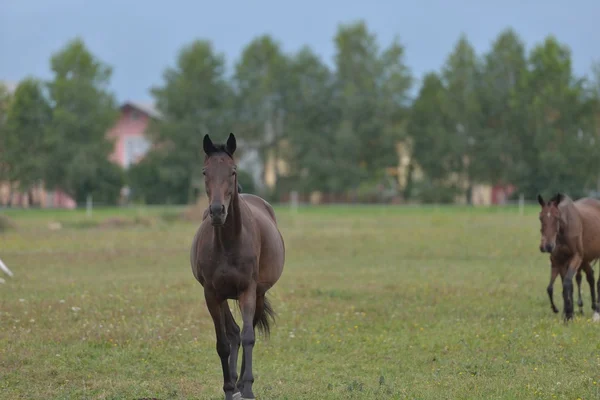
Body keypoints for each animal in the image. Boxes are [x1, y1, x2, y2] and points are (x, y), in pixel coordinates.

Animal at [192, 134, 286, 400]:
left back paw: (242, 384)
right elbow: (223, 342)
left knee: (247, 330)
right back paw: (234, 385)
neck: (228, 243)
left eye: (233, 171)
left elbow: (248, 337)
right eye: (205, 171)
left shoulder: (247, 290)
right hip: (223, 296)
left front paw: (248, 388)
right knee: (233, 332)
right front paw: (228, 388)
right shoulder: (211, 293)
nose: (217, 211)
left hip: (259, 294)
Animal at [536, 192, 600, 320]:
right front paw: (568, 312)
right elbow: (565, 286)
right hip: (585, 259)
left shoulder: (576, 257)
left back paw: (597, 311)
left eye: (557, 218)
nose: (548, 246)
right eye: (540, 217)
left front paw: (569, 314)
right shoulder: (560, 261)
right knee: (590, 277)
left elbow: (567, 283)